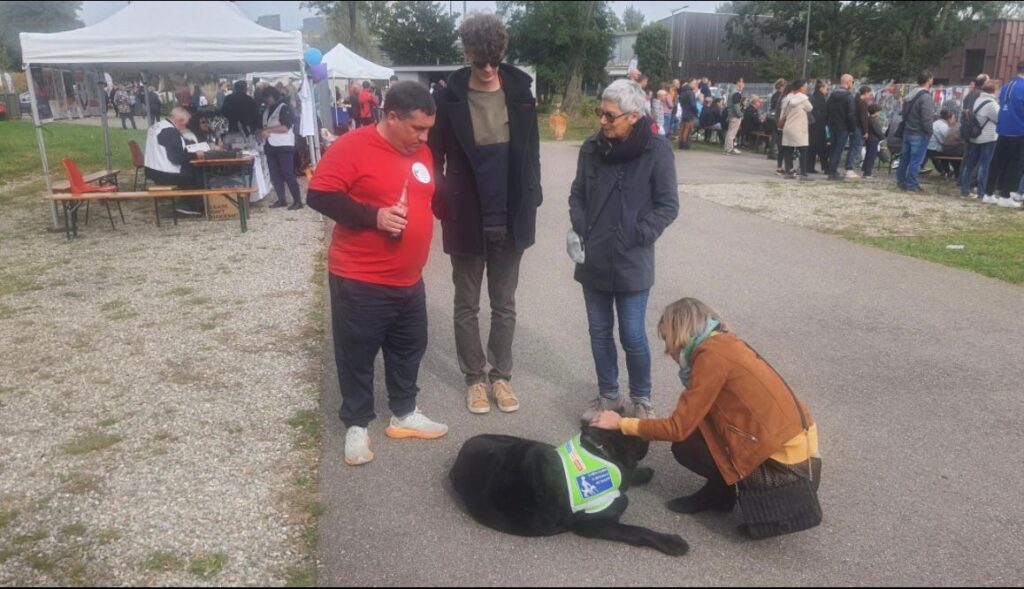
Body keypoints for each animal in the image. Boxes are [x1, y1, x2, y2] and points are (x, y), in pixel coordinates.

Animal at [448, 426, 688, 557]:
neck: (600, 455)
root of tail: (455, 466)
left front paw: (641, 474)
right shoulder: (594, 525)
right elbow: (636, 531)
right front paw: (672, 543)